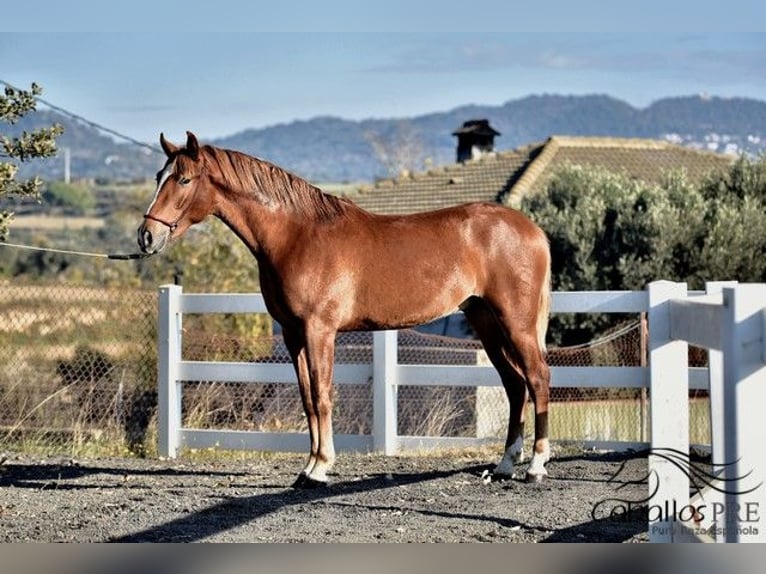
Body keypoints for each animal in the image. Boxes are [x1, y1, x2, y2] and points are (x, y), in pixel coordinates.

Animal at [138, 131, 553, 488]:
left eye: (184, 180)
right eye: (159, 176)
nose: (146, 236)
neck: (297, 235)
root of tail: (533, 231)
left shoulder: (319, 330)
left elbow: (323, 396)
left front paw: (321, 467)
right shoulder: (293, 335)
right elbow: (308, 399)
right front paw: (308, 467)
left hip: (515, 323)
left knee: (537, 378)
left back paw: (535, 465)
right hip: (486, 322)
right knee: (515, 384)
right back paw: (505, 464)